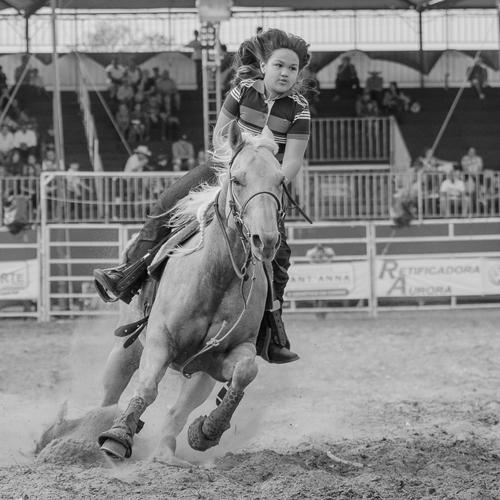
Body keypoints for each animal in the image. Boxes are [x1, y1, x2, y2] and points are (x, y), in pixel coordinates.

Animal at [97, 122, 286, 463]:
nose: (264, 240)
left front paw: (207, 431)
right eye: (237, 179)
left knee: (178, 410)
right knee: (112, 389)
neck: (216, 276)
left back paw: (166, 453)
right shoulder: (159, 339)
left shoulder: (217, 357)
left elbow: (244, 372)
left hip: (196, 371)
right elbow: (147, 388)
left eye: (280, 181)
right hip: (130, 344)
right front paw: (117, 437)